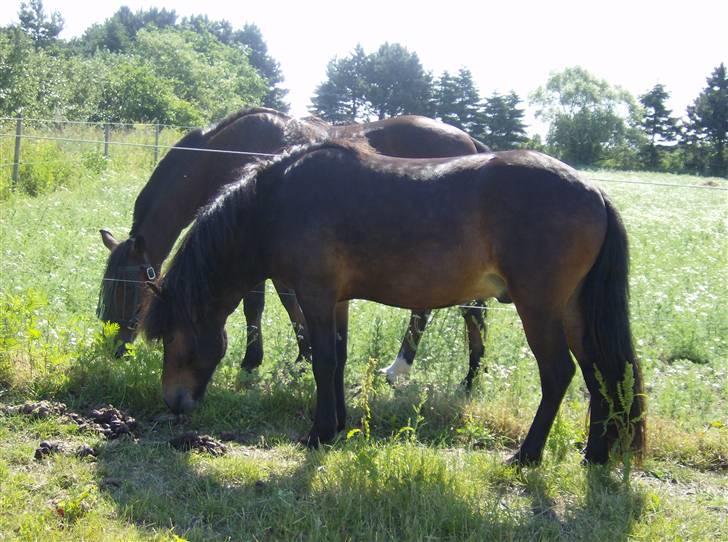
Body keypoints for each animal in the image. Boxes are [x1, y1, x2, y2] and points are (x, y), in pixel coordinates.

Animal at [96, 106, 492, 386]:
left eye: (129, 293)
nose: (114, 351)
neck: (226, 152)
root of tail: (471, 143)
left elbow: (254, 306)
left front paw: (251, 362)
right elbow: (289, 304)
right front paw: (305, 356)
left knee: (442, 310)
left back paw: (411, 371)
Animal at [139, 141, 644, 468]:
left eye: (174, 339)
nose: (173, 403)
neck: (276, 201)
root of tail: (594, 192)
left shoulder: (315, 294)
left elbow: (322, 360)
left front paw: (318, 434)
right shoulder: (336, 300)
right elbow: (339, 357)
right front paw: (338, 426)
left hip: (539, 307)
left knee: (559, 373)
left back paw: (527, 455)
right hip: (573, 311)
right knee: (602, 373)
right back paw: (595, 454)